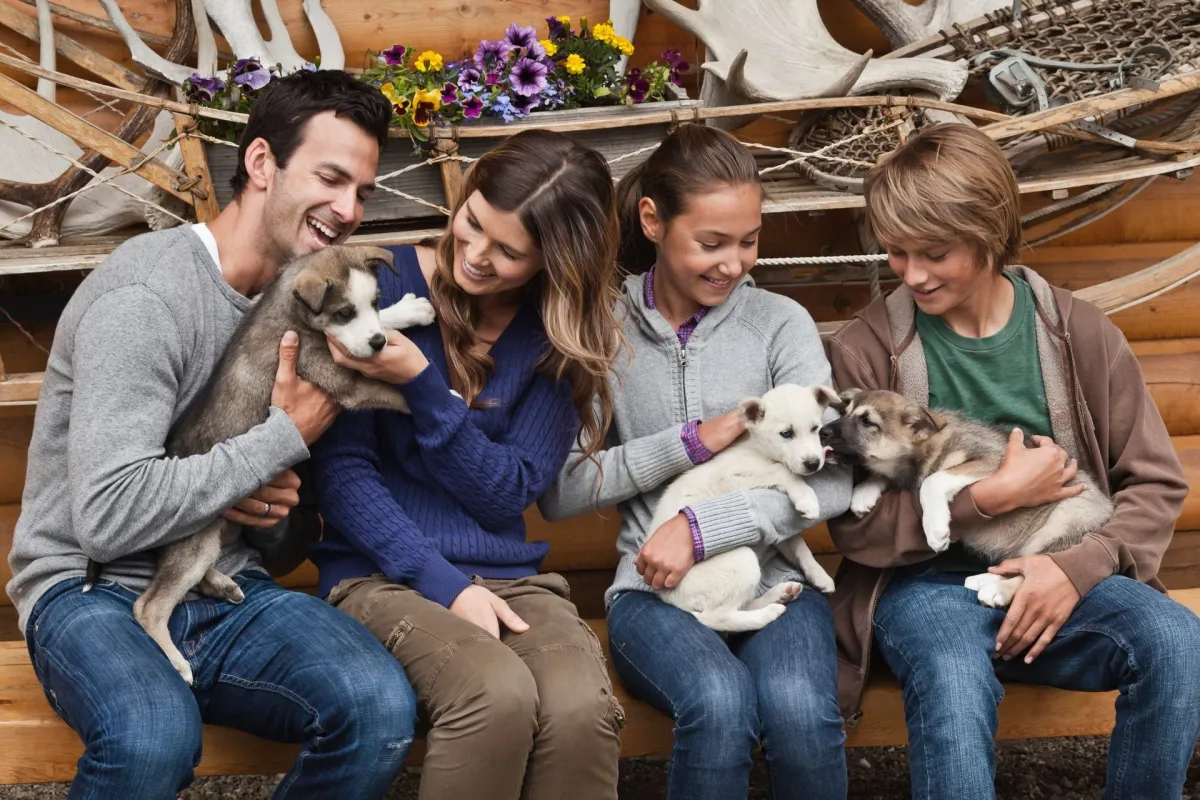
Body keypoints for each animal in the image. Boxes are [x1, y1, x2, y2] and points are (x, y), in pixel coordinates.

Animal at [87, 244, 436, 681]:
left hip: (212, 538)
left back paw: (222, 585)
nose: (377, 343)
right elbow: (391, 390)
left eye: (373, 302)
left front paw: (409, 311)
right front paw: (443, 399)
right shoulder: (344, 380)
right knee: (149, 605)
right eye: (343, 312)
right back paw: (179, 663)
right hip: (195, 542)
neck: (291, 310)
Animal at [652, 383, 840, 633]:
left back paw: (779, 595)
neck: (759, 450)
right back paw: (769, 613)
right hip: (741, 561)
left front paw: (819, 575)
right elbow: (783, 471)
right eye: (786, 434)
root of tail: (668, 597)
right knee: (716, 617)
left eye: (815, 429)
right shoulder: (731, 478)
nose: (813, 463)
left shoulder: (779, 534)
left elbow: (800, 547)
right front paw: (807, 498)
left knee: (740, 605)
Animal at [820, 388, 1108, 606]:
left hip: (1060, 524)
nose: (821, 432)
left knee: (1039, 568)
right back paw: (984, 579)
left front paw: (935, 531)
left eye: (867, 422)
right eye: (844, 413)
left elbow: (933, 481)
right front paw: (863, 493)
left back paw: (998, 590)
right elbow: (886, 475)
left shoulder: (991, 461)